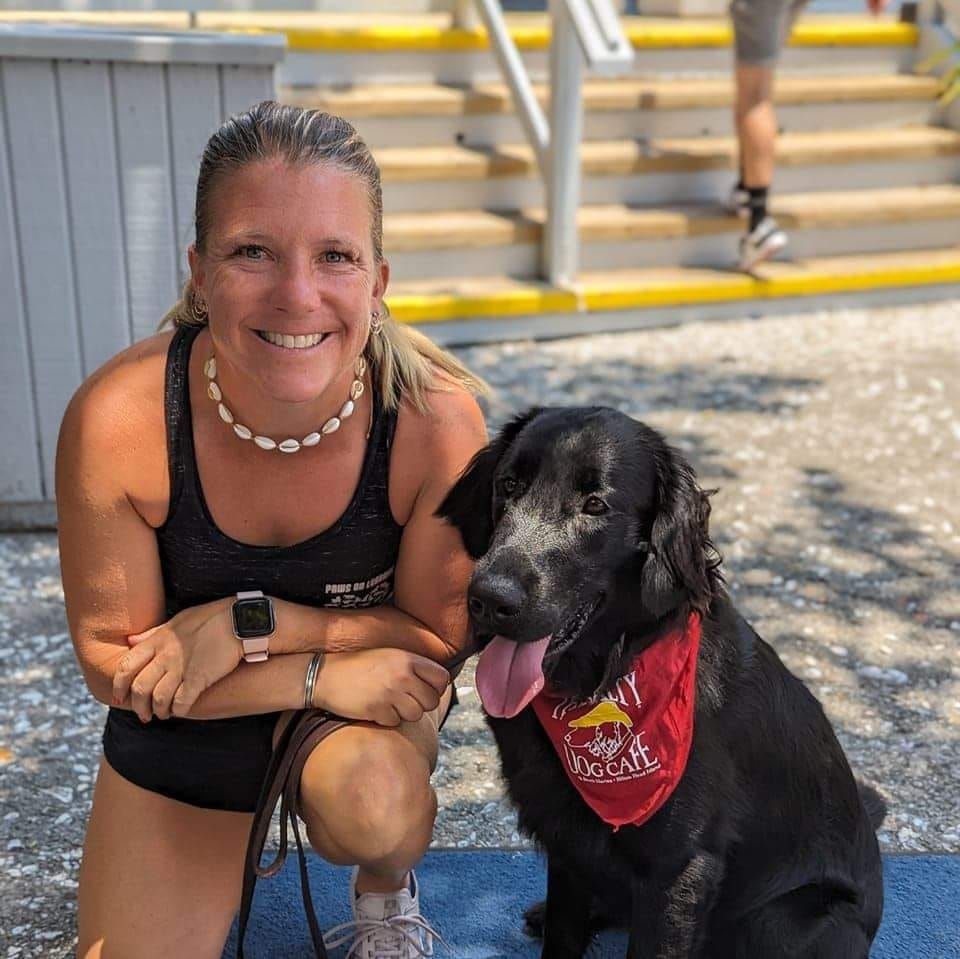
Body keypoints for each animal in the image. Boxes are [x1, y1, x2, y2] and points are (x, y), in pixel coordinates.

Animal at [436, 404, 884, 959]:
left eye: (595, 504)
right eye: (509, 485)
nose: (488, 598)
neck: (606, 677)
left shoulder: (679, 870)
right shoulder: (567, 839)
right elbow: (564, 928)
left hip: (791, 919)